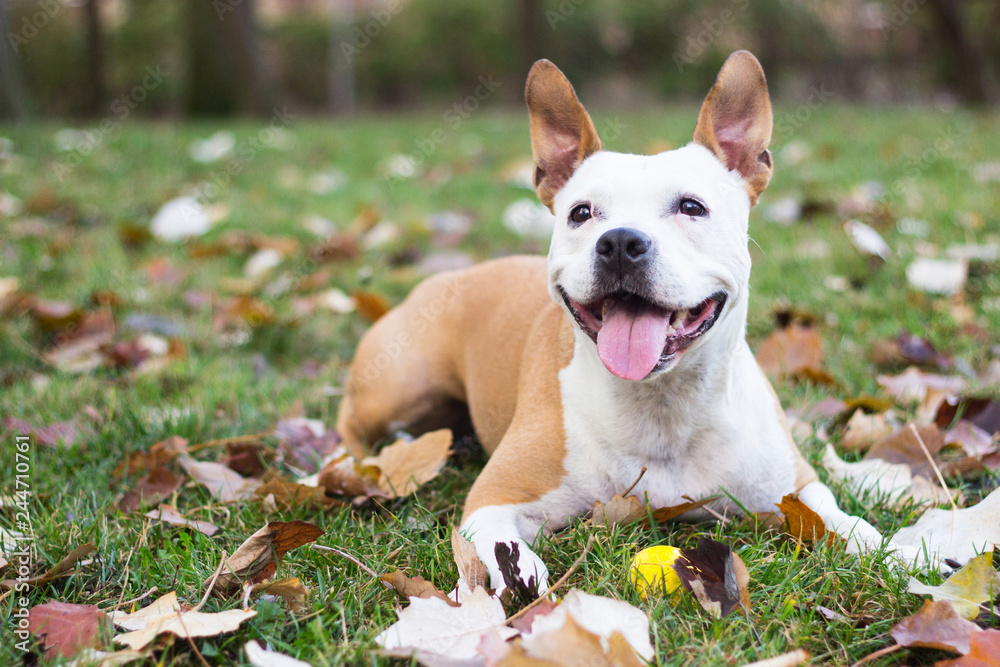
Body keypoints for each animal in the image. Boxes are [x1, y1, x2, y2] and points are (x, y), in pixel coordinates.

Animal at [336, 53, 916, 596]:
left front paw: (900, 552)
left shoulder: (796, 488)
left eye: (692, 207)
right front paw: (518, 575)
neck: (662, 405)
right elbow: (500, 543)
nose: (619, 242)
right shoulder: (494, 499)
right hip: (397, 387)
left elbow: (845, 521)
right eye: (581, 213)